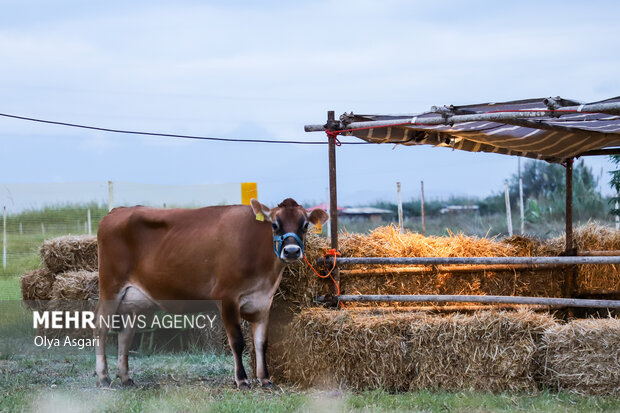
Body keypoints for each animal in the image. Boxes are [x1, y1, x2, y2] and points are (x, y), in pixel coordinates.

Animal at [93, 198, 330, 388]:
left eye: (305, 225)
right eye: (275, 224)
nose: (291, 251)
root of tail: (116, 211)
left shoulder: (264, 302)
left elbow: (261, 342)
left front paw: (265, 379)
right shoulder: (227, 297)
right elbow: (238, 341)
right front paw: (242, 379)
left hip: (132, 301)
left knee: (125, 334)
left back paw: (125, 378)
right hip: (110, 287)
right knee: (100, 328)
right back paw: (104, 377)